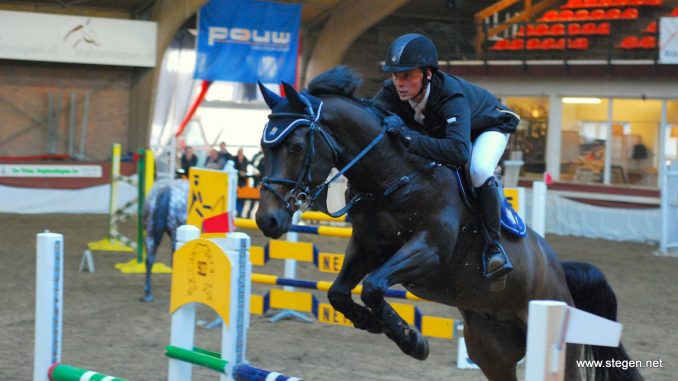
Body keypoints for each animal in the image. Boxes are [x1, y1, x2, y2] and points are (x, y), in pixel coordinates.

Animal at [255, 67, 644, 378]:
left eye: (296, 146)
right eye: (265, 145)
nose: (267, 220)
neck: (394, 177)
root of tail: (560, 271)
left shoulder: (429, 251)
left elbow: (374, 286)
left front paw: (412, 340)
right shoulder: (367, 248)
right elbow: (339, 292)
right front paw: (370, 323)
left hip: (557, 343)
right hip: (491, 350)